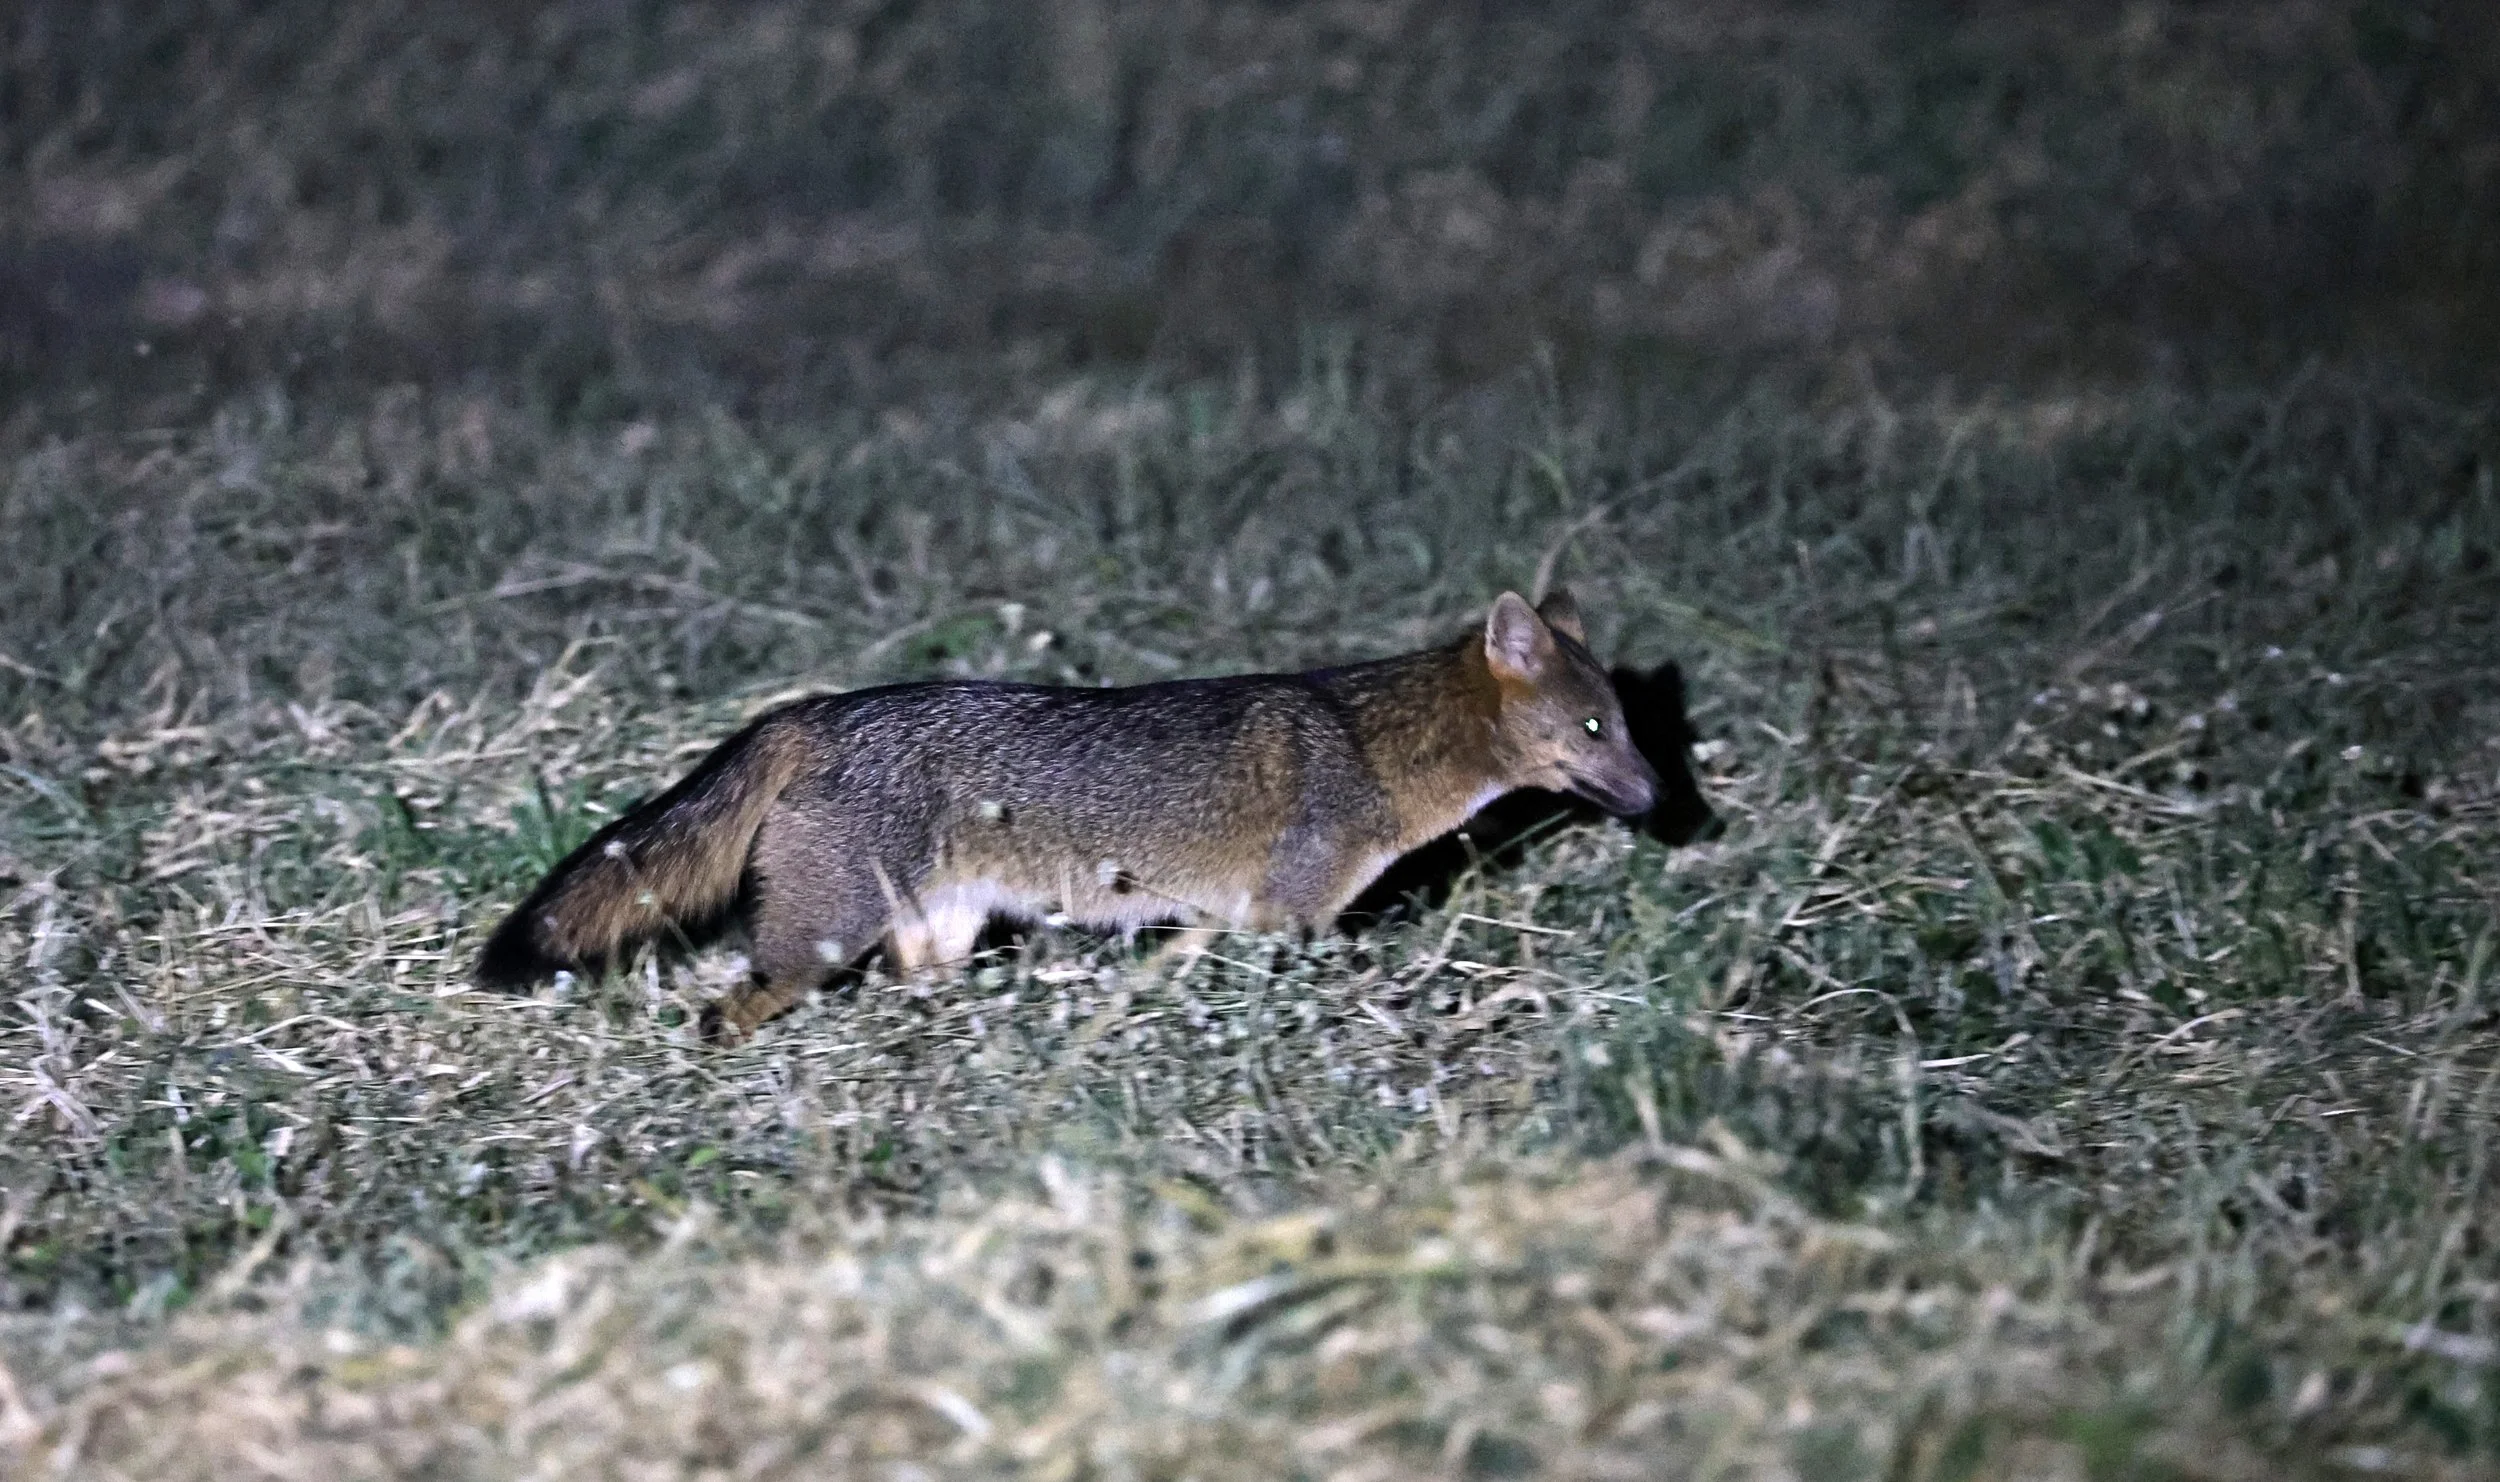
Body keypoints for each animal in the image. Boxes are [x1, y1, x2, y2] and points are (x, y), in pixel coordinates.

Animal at [474, 589, 1663, 1041]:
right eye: (1597, 728)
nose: (1666, 804)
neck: (1377, 742)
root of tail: (815, 708)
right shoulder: (1286, 920)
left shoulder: (1220, 921)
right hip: (820, 942)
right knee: (726, 1008)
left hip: (935, 938)